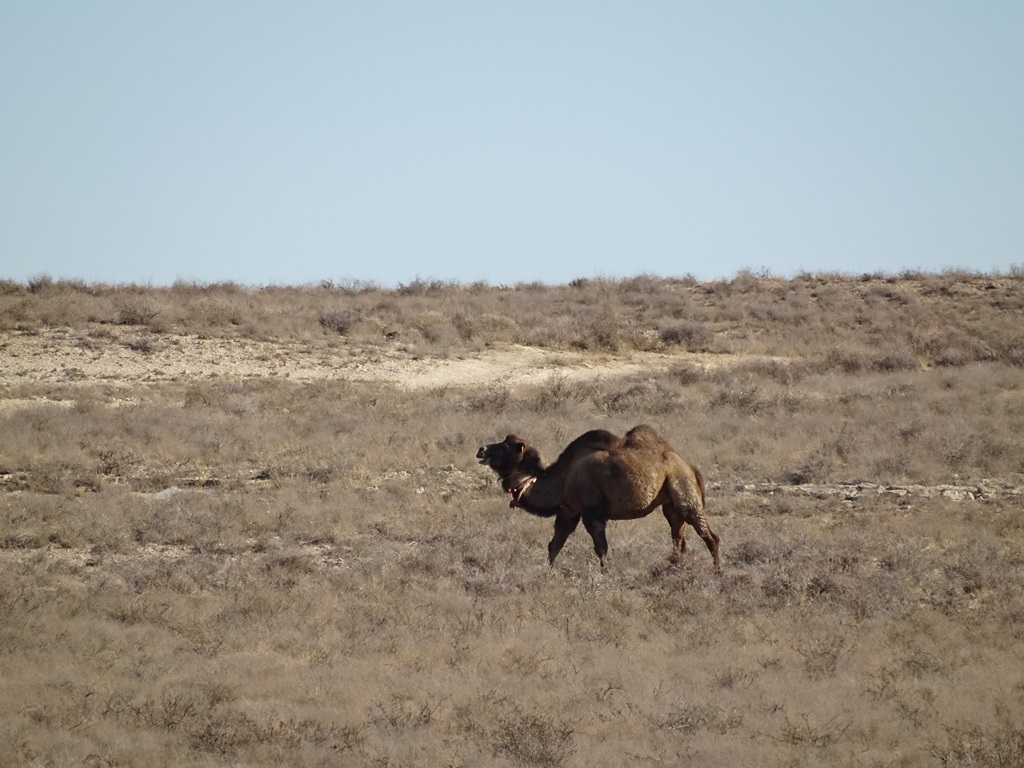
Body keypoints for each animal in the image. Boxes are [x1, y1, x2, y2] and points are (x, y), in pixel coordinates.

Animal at [477, 428, 720, 573]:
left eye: (505, 446)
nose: (481, 449)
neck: (562, 476)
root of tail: (689, 466)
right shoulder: (569, 510)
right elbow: (554, 545)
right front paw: (548, 574)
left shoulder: (591, 510)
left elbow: (601, 548)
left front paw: (605, 576)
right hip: (670, 502)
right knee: (678, 536)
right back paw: (676, 569)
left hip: (684, 489)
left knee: (709, 536)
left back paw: (717, 573)